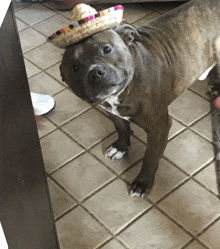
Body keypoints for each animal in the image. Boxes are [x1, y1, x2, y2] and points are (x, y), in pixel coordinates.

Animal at [59, 0, 220, 198]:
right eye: (74, 68)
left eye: (107, 49)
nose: (95, 73)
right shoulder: (112, 112)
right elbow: (121, 129)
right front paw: (121, 147)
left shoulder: (159, 127)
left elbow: (150, 157)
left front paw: (142, 183)